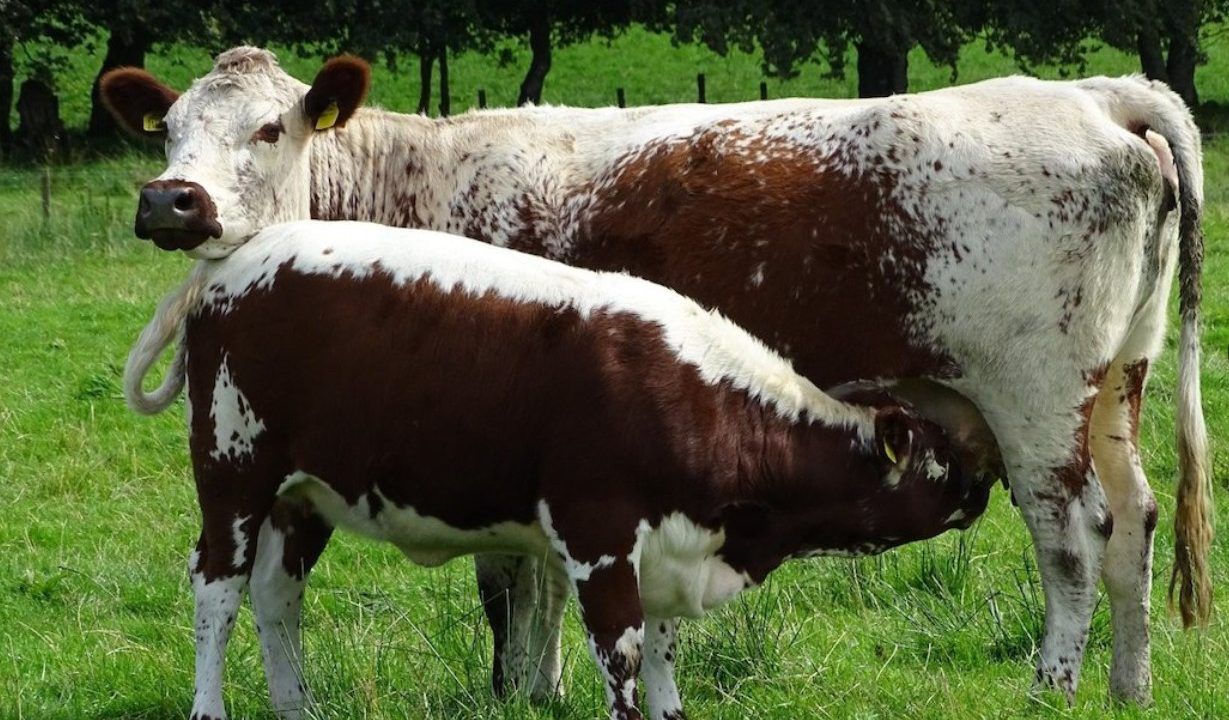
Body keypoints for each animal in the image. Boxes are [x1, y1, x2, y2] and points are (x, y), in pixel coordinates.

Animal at [125, 218, 995, 720]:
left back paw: (296, 708)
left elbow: (665, 653)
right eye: (944, 457)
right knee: (218, 591)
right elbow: (624, 655)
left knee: (278, 596)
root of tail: (237, 256)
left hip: (303, 493)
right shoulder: (597, 535)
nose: (987, 485)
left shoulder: (670, 546)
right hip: (234, 468)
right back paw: (211, 708)